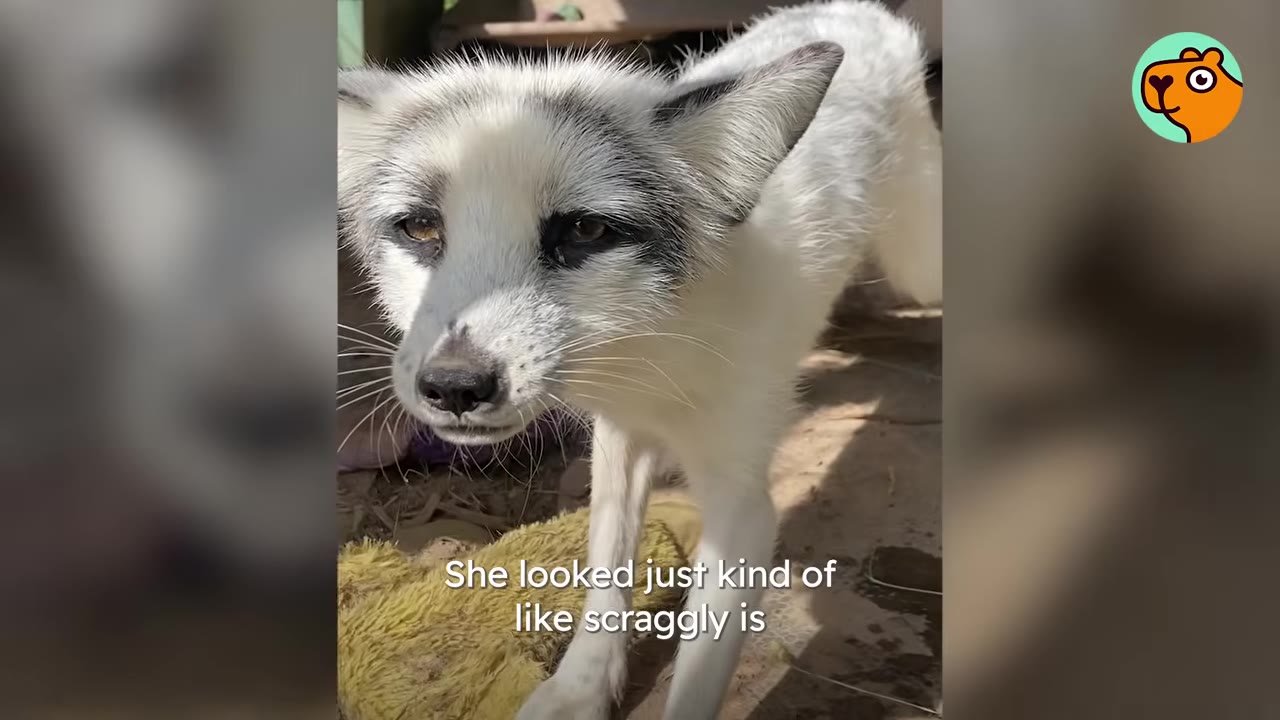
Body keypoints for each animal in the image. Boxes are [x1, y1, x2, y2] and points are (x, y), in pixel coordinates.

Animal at [337, 2, 941, 717]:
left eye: (585, 231)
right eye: (421, 227)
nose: (454, 387)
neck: (658, 340)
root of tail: (852, 10)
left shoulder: (743, 505)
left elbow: (697, 676)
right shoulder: (620, 434)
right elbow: (608, 562)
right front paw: (581, 688)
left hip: (921, 268)